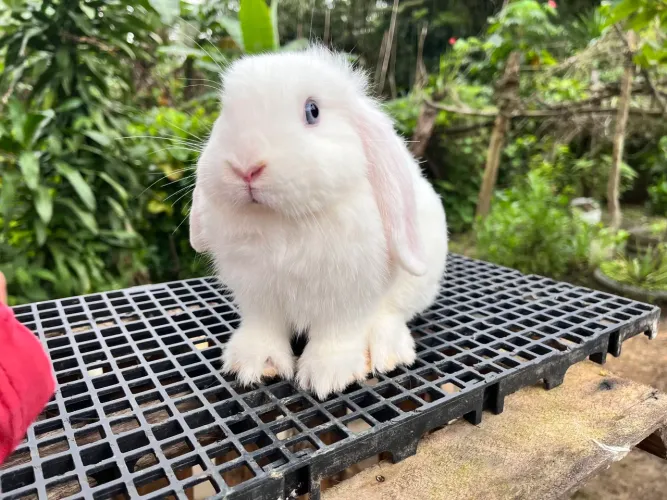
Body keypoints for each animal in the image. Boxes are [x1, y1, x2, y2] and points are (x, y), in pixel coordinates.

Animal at [189, 46, 448, 399]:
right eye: (225, 112)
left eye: (313, 111)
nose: (245, 167)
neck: (284, 221)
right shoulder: (256, 295)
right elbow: (263, 327)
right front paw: (256, 365)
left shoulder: (348, 295)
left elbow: (336, 334)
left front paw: (328, 376)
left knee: (391, 315)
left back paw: (388, 353)